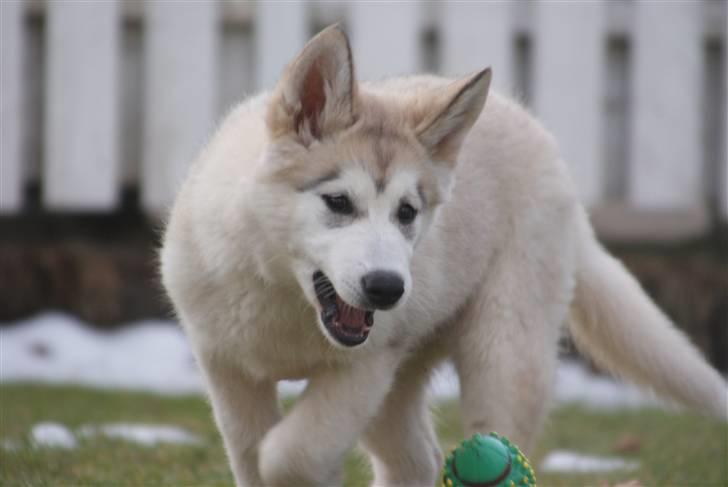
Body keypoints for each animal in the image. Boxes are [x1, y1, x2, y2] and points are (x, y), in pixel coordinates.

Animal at [161, 24, 728, 486]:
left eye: (407, 212)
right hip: (399, 383)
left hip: (503, 354)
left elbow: (288, 454)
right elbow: (252, 454)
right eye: (338, 203)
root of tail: (543, 140)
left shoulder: (363, 369)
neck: (284, 295)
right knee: (416, 460)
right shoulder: (227, 367)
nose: (387, 288)